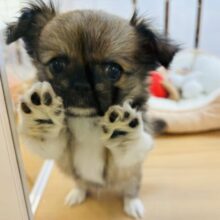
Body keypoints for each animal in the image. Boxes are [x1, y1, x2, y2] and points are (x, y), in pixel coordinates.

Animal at [6, 1, 178, 218]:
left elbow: (128, 145)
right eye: (57, 64)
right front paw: (41, 113)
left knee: (131, 190)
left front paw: (121, 127)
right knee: (81, 184)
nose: (82, 85)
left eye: (113, 70)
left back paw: (133, 205)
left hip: (133, 177)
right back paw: (77, 193)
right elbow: (45, 136)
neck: (87, 120)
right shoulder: (55, 149)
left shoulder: (129, 160)